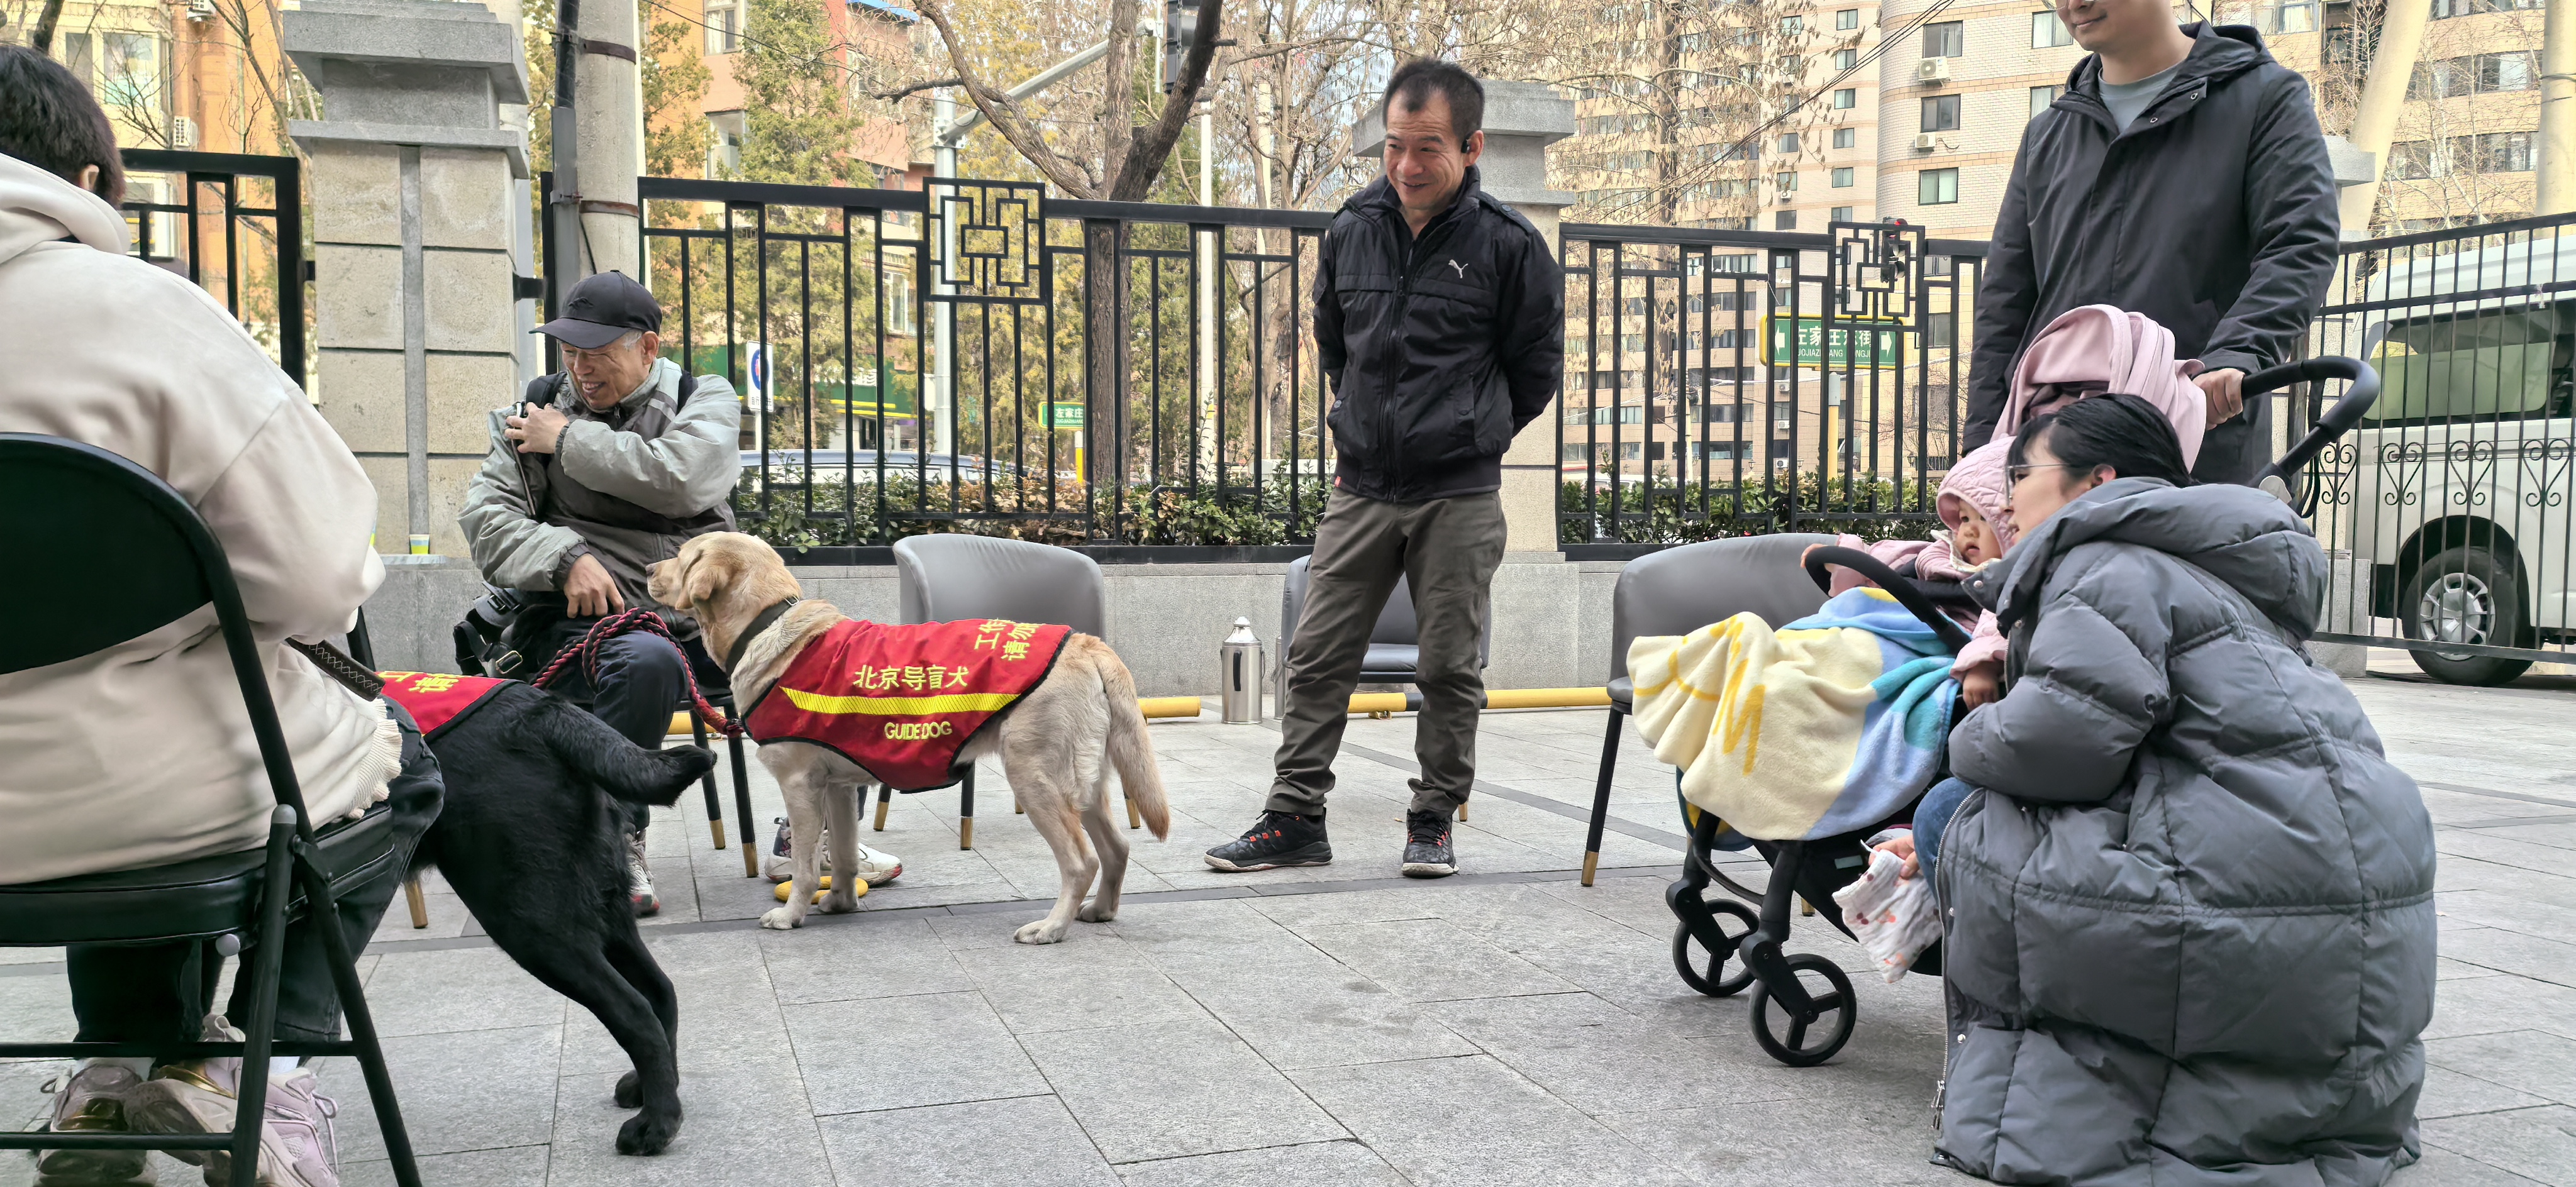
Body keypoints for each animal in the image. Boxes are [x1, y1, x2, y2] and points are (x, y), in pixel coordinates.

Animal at [408, 683, 714, 1154]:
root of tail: (545, 711)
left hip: (528, 919)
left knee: (634, 1010)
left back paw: (656, 1123)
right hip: (605, 907)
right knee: (660, 991)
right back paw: (649, 1092)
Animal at [646, 532, 1170, 944]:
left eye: (682, 556)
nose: (649, 568)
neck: (766, 625)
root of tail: (1086, 642)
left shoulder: (799, 784)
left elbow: (805, 866)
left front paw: (791, 914)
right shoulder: (838, 787)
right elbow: (841, 854)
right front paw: (840, 901)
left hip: (1035, 776)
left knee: (1081, 861)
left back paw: (1051, 927)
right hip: (1084, 782)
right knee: (1117, 848)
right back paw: (1101, 910)